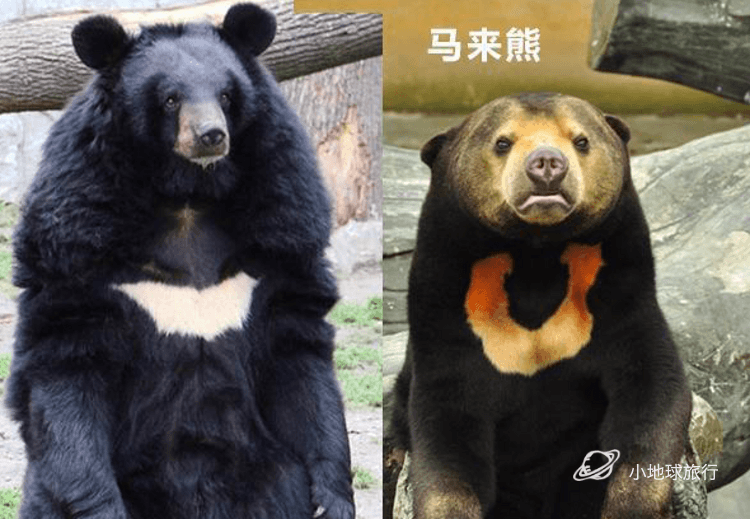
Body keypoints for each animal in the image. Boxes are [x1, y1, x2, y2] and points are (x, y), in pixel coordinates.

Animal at [6, 4, 355, 519]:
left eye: (227, 95)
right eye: (170, 99)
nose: (212, 136)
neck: (187, 192)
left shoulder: (285, 218)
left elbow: (297, 351)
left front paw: (332, 501)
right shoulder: (75, 230)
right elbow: (68, 358)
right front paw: (104, 509)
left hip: (263, 473)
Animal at [386, 92, 692, 519]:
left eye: (581, 141)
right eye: (502, 142)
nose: (547, 163)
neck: (536, 253)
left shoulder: (622, 293)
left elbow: (652, 389)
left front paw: (630, 506)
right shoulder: (447, 312)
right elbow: (447, 427)